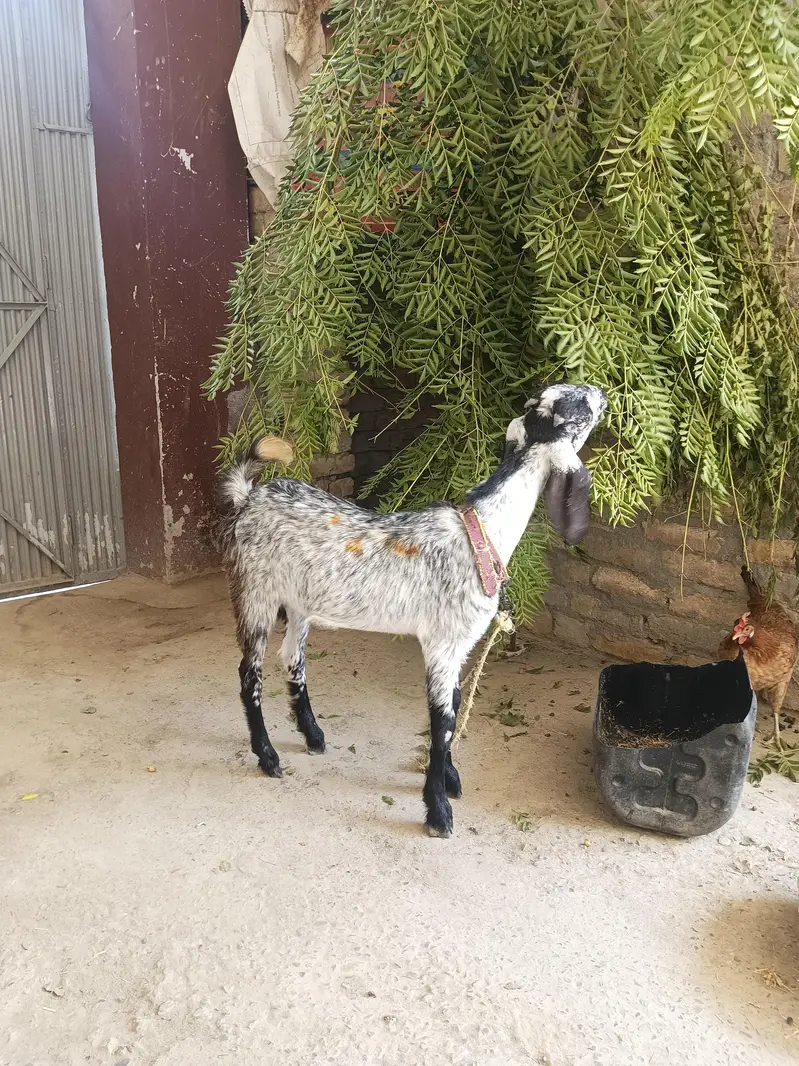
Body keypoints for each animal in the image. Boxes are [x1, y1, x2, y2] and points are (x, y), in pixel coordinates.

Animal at [218, 383, 607, 837]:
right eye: (579, 408)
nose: (602, 393)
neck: (485, 531)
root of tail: (249, 497)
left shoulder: (458, 646)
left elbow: (455, 705)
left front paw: (451, 779)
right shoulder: (441, 643)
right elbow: (442, 722)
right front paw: (438, 811)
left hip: (299, 604)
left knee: (292, 658)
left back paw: (312, 735)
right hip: (255, 593)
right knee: (249, 673)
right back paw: (267, 757)